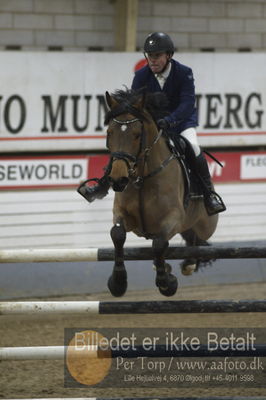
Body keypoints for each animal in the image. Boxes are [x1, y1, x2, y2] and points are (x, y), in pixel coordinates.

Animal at [102, 90, 218, 296]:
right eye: (109, 133)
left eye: (137, 135)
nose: (118, 180)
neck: (143, 177)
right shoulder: (122, 214)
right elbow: (117, 235)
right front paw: (118, 282)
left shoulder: (173, 217)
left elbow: (159, 243)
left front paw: (167, 283)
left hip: (206, 224)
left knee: (196, 238)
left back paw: (188, 263)